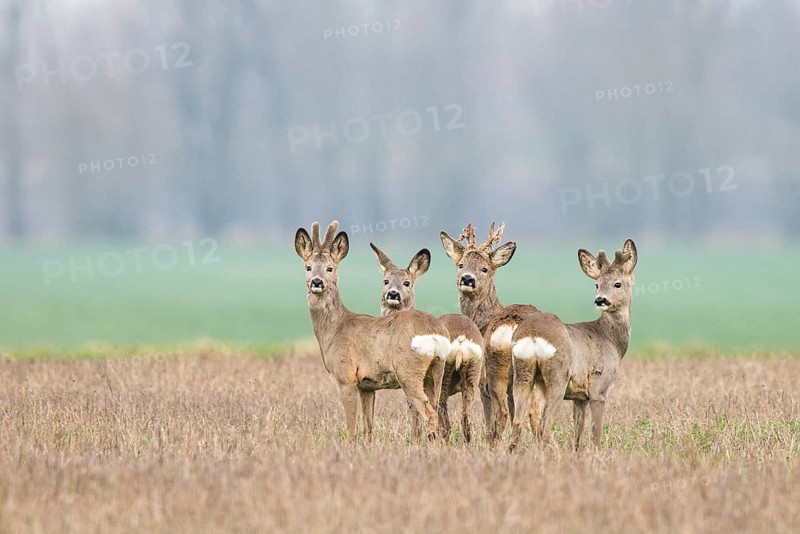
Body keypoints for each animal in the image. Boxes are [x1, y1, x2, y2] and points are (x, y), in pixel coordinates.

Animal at [294, 221, 451, 442]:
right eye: (308, 267)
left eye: (330, 268)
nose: (317, 282)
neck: (334, 330)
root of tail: (435, 330)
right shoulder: (367, 386)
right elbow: (368, 427)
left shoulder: (346, 377)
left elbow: (352, 426)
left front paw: (349, 446)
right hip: (436, 370)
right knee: (436, 408)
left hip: (408, 371)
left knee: (429, 413)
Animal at [369, 242, 484, 443]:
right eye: (386, 281)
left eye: (407, 282)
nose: (393, 294)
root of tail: (462, 340)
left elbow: (413, 409)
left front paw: (415, 439)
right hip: (473, 372)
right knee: (466, 419)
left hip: (442, 373)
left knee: (442, 418)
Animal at [439, 222, 540, 445]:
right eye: (461, 265)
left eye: (484, 268)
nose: (468, 279)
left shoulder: (482, 384)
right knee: (533, 412)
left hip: (495, 371)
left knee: (503, 412)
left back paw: (496, 445)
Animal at [509, 239, 638, 453]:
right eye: (597, 284)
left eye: (617, 284)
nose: (600, 299)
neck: (610, 339)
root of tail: (533, 333)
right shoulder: (598, 388)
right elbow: (595, 433)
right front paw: (596, 454)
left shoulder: (579, 396)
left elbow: (578, 431)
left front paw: (577, 453)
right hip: (557, 376)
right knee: (544, 424)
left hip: (523, 373)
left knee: (518, 421)